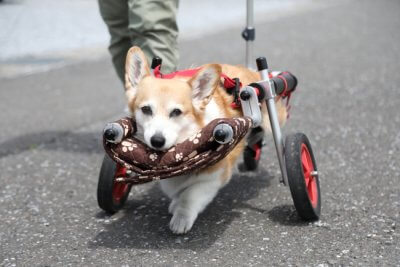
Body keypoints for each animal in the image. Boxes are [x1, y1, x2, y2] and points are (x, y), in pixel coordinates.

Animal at [125, 46, 288, 234]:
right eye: (146, 109)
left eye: (176, 112)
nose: (157, 140)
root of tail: (251, 72)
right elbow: (178, 191)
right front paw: (175, 203)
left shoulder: (214, 176)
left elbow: (190, 196)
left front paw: (181, 218)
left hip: (272, 118)